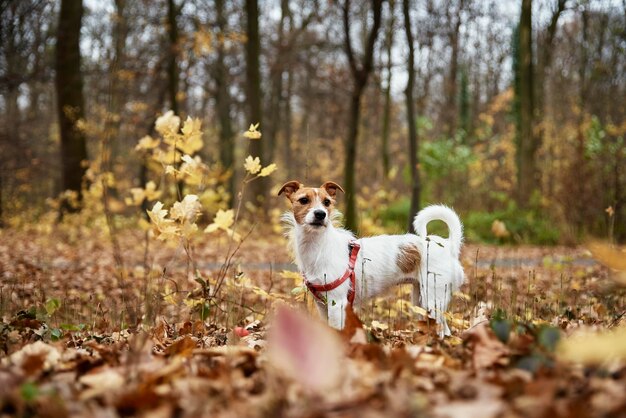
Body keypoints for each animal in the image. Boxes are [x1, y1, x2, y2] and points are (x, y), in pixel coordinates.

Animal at [278, 180, 464, 336]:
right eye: (303, 200)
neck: (319, 247)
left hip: (433, 299)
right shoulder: (323, 306)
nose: (320, 214)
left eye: (327, 202)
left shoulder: (337, 304)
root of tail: (448, 246)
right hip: (421, 301)